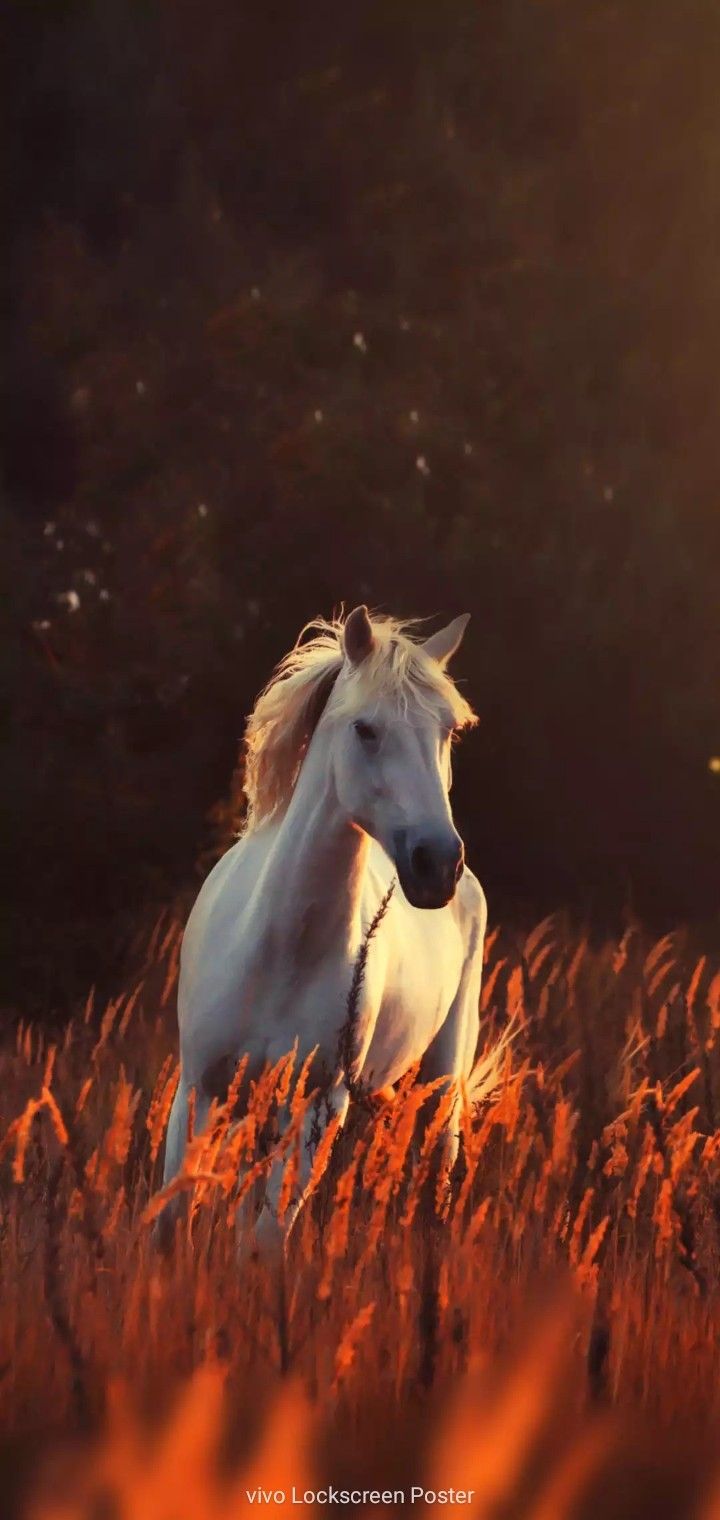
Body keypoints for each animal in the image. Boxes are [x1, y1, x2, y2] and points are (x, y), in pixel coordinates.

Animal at [161, 605, 488, 1242]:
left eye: (448, 731)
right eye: (365, 729)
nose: (437, 864)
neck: (279, 948)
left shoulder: (320, 1104)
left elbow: (264, 1241)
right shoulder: (198, 1090)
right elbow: (171, 1220)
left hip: (442, 1086)